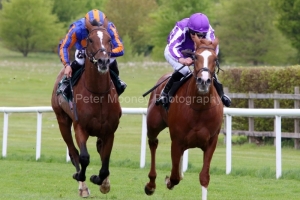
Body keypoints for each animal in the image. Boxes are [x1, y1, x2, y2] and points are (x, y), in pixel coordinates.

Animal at [51, 21, 120, 197]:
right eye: (90, 40)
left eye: (110, 40)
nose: (103, 61)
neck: (97, 94)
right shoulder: (80, 127)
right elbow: (83, 157)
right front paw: (81, 178)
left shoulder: (109, 131)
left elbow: (105, 160)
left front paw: (102, 182)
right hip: (62, 120)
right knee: (73, 151)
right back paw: (82, 185)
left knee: (99, 149)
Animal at [144, 36, 224, 199]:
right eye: (196, 57)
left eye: (215, 58)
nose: (204, 81)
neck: (199, 107)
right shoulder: (177, 141)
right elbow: (174, 177)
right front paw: (168, 181)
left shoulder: (211, 142)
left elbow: (204, 177)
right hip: (153, 125)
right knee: (153, 143)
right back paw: (151, 185)